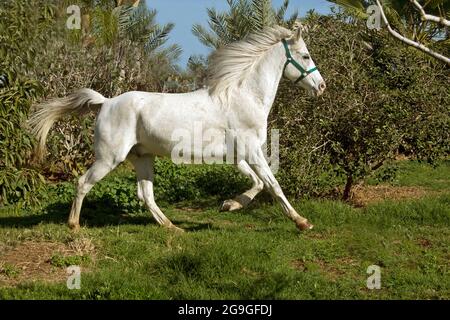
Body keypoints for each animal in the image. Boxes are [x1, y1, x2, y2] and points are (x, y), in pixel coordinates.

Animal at [29, 23, 326, 232]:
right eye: (305, 55)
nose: (321, 86)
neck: (244, 97)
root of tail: (106, 102)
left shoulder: (238, 155)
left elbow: (258, 183)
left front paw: (230, 205)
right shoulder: (251, 151)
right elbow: (273, 184)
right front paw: (302, 222)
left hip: (142, 157)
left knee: (145, 195)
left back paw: (172, 227)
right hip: (110, 158)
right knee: (83, 183)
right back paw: (74, 225)